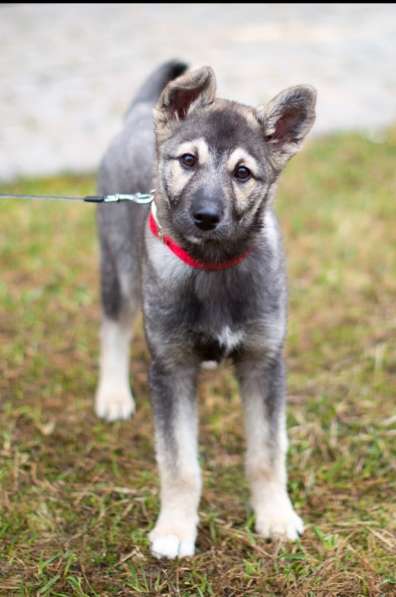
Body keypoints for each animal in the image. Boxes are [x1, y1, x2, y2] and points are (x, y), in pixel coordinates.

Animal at [94, 60, 318, 560]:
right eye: (188, 161)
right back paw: (113, 395)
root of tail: (139, 112)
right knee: (114, 327)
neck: (213, 266)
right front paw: (175, 529)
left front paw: (275, 516)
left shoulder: (262, 362)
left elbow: (266, 452)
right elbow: (179, 463)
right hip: (119, 268)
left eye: (243, 173)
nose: (207, 217)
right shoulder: (172, 366)